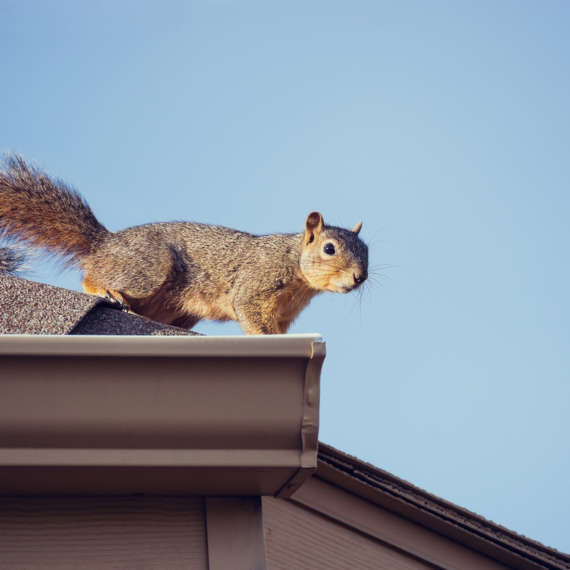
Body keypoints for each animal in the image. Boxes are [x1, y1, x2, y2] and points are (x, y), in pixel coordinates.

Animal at [0, 154, 366, 332]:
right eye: (329, 248)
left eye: (367, 251)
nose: (359, 277)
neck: (295, 267)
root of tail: (104, 244)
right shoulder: (255, 284)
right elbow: (251, 314)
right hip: (148, 269)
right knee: (91, 276)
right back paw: (105, 290)